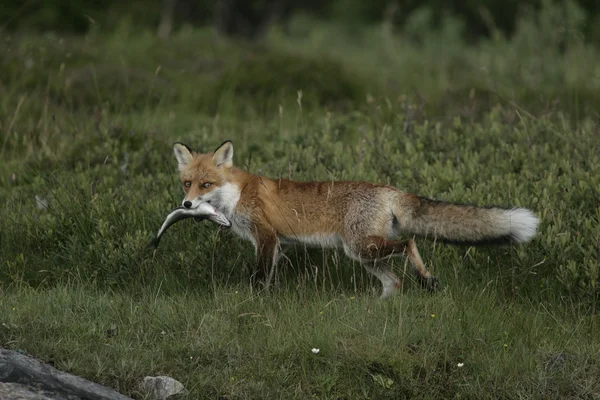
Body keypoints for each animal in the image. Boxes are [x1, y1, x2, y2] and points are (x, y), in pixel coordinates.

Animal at [172, 140, 540, 296]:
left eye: (206, 184)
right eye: (187, 183)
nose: (186, 204)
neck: (236, 193)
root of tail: (388, 188)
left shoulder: (266, 237)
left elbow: (258, 278)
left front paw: (252, 302)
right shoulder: (276, 244)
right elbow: (269, 277)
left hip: (361, 247)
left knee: (408, 244)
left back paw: (425, 279)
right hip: (365, 254)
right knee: (394, 281)